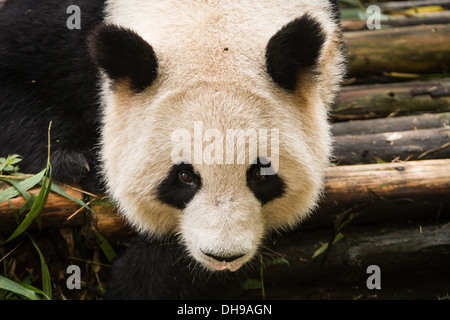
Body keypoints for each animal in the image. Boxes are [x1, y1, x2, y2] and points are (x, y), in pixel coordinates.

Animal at [0, 0, 346, 300]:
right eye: (184, 176)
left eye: (261, 175)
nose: (223, 255)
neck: (209, 17)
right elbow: (15, 76)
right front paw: (73, 161)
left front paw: (138, 280)